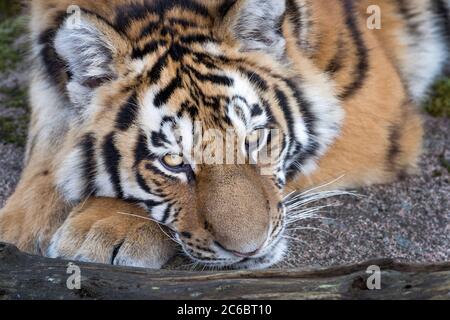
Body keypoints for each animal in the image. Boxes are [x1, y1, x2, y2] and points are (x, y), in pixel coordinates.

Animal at [0, 0, 448, 270]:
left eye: (255, 140)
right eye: (173, 161)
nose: (249, 250)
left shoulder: (373, 100)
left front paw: (102, 228)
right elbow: (49, 150)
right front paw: (16, 234)